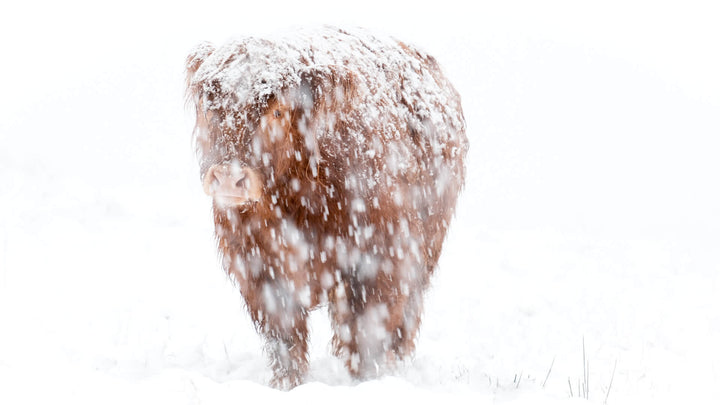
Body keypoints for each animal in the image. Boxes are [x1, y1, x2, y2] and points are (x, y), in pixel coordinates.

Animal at [184, 26, 466, 388]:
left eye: (278, 111)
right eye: (209, 107)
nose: (229, 178)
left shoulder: (381, 260)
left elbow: (368, 335)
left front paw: (367, 382)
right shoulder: (259, 267)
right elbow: (285, 341)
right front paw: (286, 385)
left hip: (425, 252)